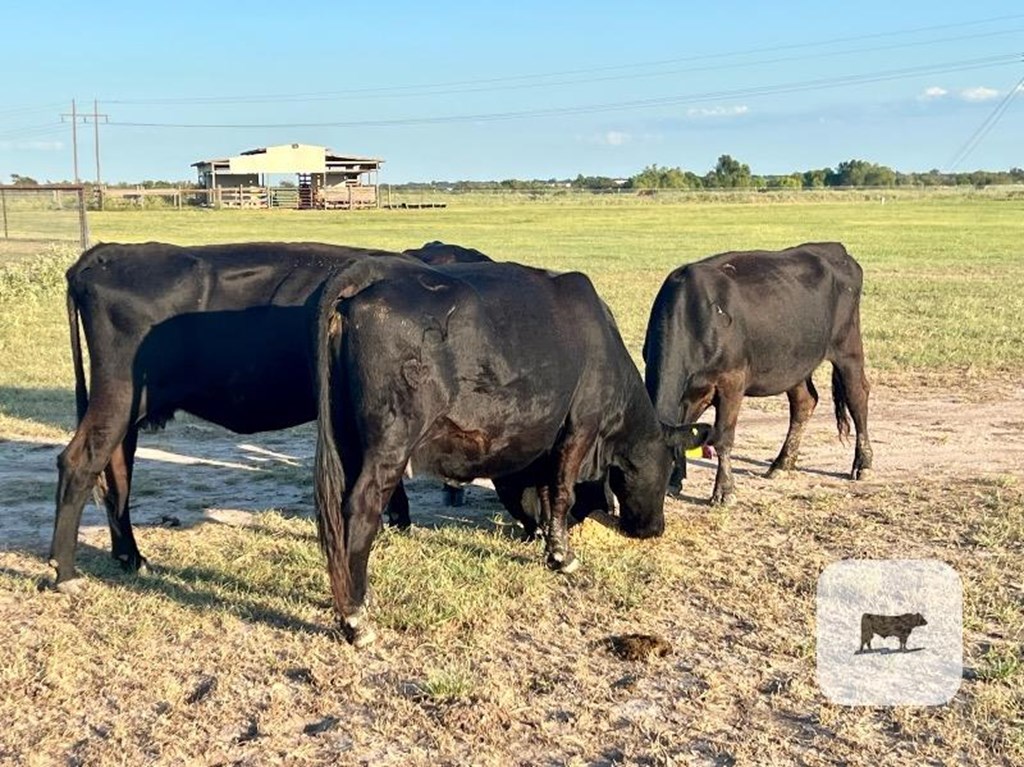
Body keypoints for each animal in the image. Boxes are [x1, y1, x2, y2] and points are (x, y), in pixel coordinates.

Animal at [47, 242, 411, 589]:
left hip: (128, 408)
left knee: (116, 470)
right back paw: (65, 572)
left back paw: (131, 557)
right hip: (118, 395)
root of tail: (108, 252)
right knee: (80, 463)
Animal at [313, 253, 712, 643]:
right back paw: (356, 619)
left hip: (347, 436)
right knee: (362, 509)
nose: (654, 529)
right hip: (391, 440)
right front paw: (561, 557)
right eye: (667, 467)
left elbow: (543, 493)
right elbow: (562, 492)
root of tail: (374, 273)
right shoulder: (580, 425)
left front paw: (544, 538)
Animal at [638, 242, 872, 505]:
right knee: (804, 402)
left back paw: (863, 464)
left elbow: (723, 437)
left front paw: (724, 491)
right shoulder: (692, 391)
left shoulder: (732, 381)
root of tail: (835, 249)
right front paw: (675, 480)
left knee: (857, 397)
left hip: (848, 348)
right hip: (793, 363)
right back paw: (781, 464)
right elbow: (684, 431)